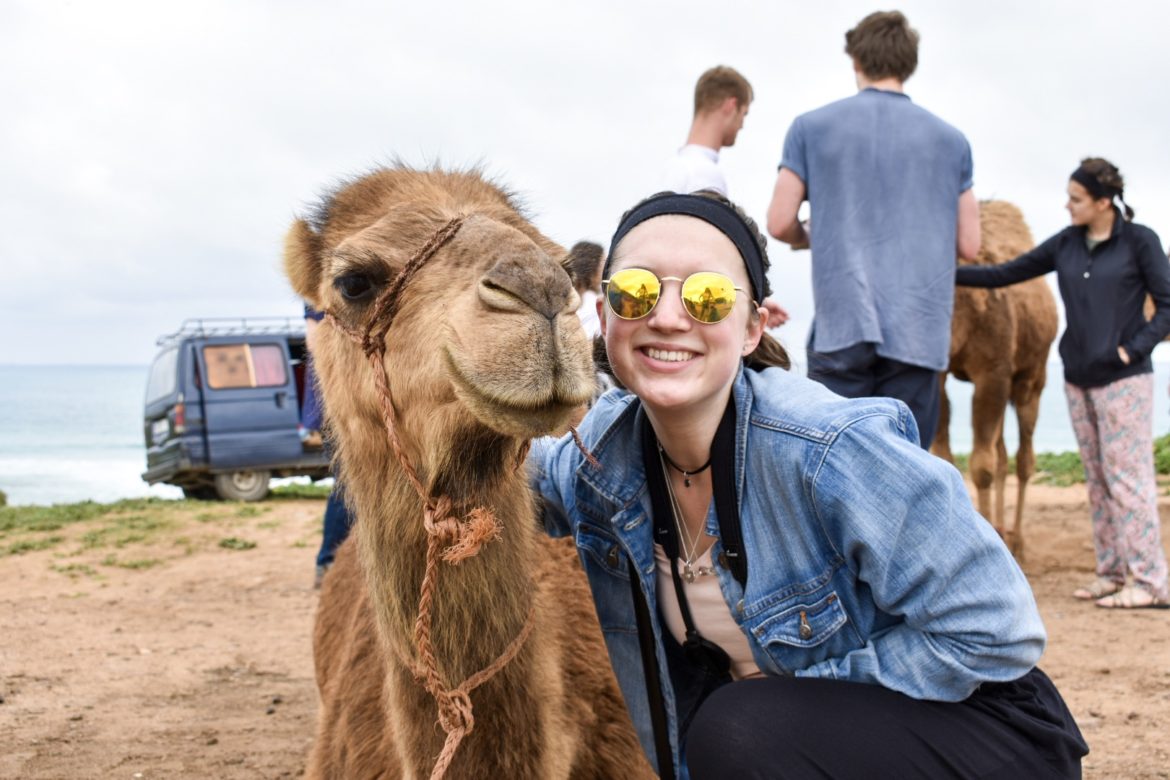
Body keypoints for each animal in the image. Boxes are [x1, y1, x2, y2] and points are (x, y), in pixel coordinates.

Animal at [931, 200, 1058, 559]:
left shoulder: (994, 371)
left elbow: (982, 467)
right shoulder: (938, 375)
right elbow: (947, 457)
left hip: (1032, 377)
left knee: (1023, 457)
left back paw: (1017, 541)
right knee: (1002, 452)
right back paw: (1001, 529)